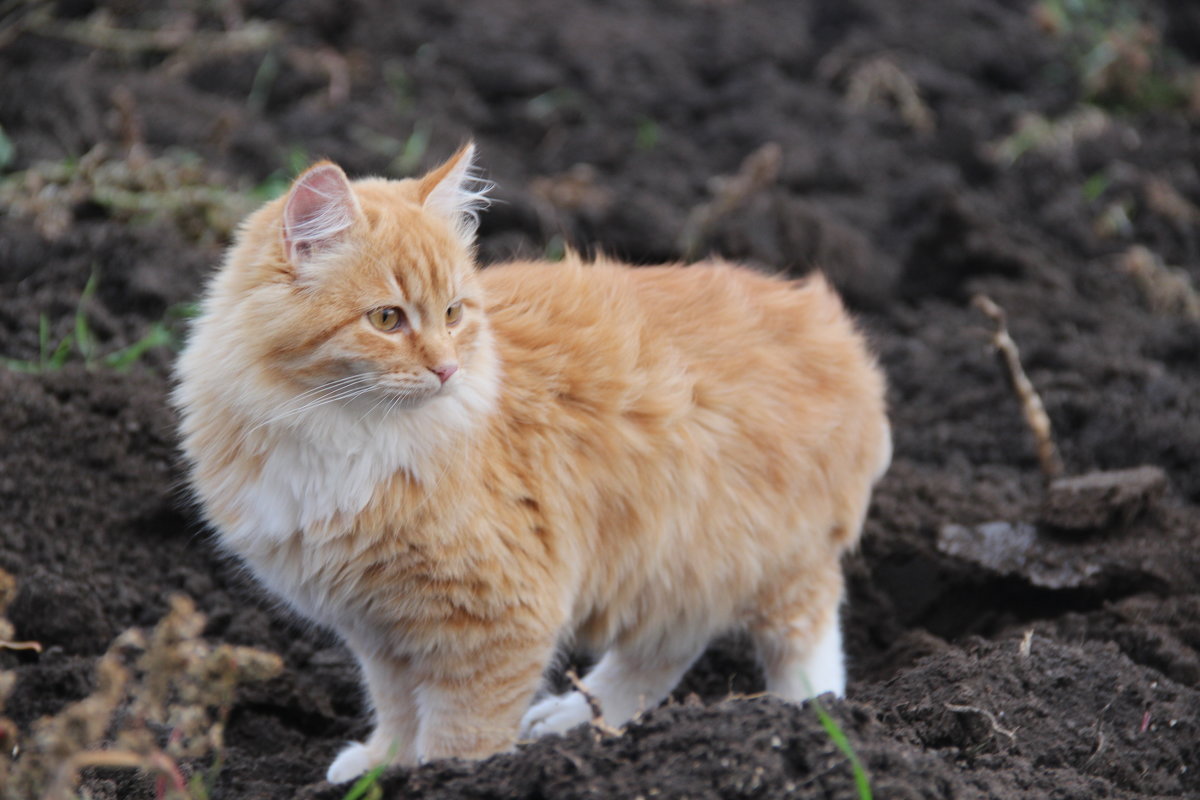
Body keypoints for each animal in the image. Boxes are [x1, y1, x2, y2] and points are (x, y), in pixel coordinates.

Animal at [175, 142, 892, 782]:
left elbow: (462, 727)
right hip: (678, 558)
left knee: (807, 632)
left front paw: (444, 777)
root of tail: (828, 321)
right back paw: (579, 719)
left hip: (764, 550)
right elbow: (397, 705)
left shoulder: (497, 616)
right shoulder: (379, 626)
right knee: (667, 646)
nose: (447, 369)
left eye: (453, 313)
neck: (345, 436)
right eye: (386, 319)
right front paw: (384, 766)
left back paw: (815, 720)